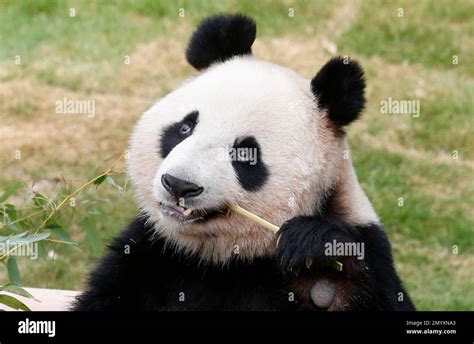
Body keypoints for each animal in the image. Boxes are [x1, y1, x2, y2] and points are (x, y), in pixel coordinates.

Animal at [73, 13, 414, 310]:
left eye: (245, 154)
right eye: (184, 128)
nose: (179, 185)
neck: (224, 258)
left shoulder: (367, 244)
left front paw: (318, 252)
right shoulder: (149, 253)